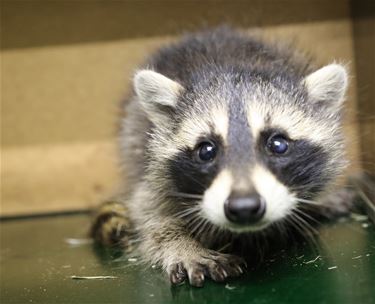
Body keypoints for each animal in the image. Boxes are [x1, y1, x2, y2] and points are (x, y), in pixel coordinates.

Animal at [91, 26, 356, 288]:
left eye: (278, 144)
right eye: (206, 150)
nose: (244, 207)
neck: (232, 67)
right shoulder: (149, 168)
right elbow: (149, 211)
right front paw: (182, 245)